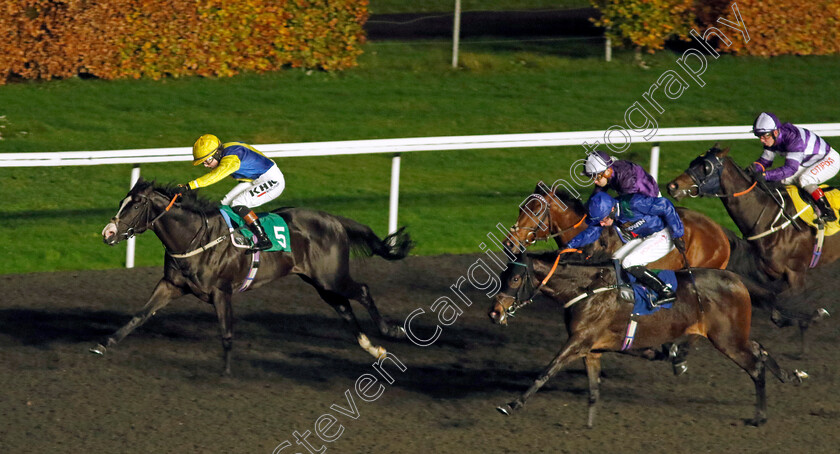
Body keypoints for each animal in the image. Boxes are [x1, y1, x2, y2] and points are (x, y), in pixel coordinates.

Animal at [95, 179, 414, 374]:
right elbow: (140, 315)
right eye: (121, 201)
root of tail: (334, 220)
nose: (108, 233)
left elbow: (226, 331)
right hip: (320, 282)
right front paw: (104, 344)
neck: (194, 237)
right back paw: (372, 348)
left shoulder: (221, 291)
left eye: (136, 205)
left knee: (362, 290)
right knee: (343, 307)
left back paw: (390, 331)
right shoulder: (171, 285)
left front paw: (225, 372)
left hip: (331, 276)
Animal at [488, 250, 804, 428]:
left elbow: (546, 372)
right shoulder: (593, 349)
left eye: (514, 279)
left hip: (727, 339)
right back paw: (791, 375)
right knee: (759, 349)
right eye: (502, 275)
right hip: (734, 335)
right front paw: (589, 425)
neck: (587, 290)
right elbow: (593, 389)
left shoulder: (578, 342)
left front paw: (511, 405)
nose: (494, 312)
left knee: (755, 366)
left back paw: (759, 417)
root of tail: (736, 279)